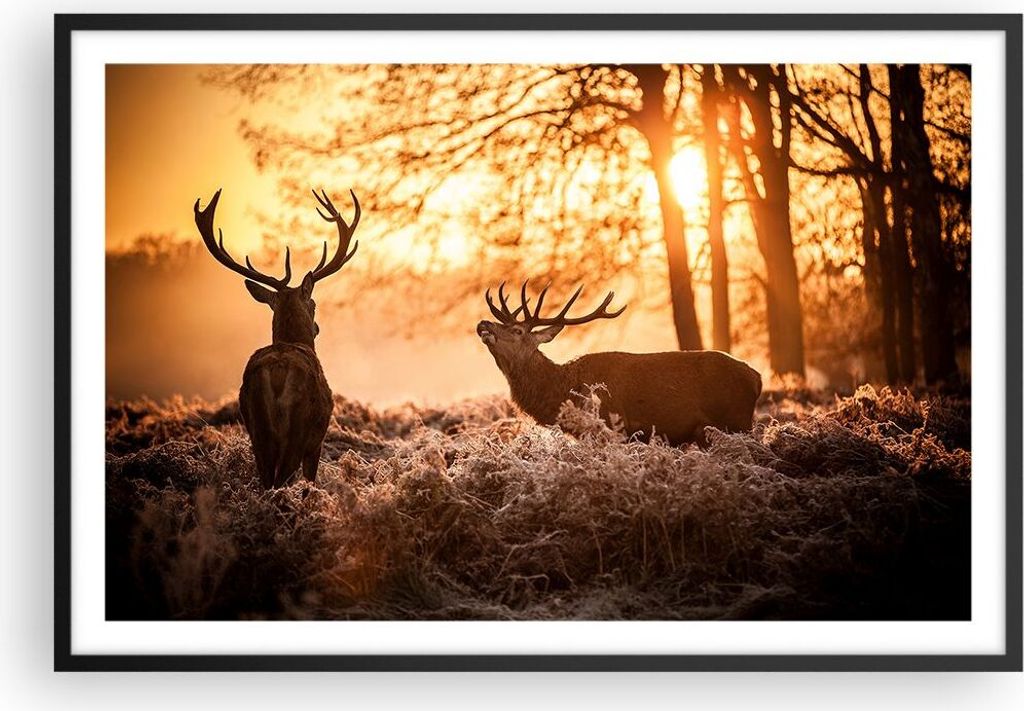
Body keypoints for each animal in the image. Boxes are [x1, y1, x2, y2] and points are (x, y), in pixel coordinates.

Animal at [194, 187, 361, 488]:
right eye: (314, 304)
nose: (317, 327)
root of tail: (276, 373)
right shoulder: (316, 442)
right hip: (298, 428)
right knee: (281, 478)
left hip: (256, 428)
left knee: (265, 479)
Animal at [477, 282, 762, 446]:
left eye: (517, 330)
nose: (483, 323)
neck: (564, 390)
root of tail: (757, 378)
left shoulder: (612, 428)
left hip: (737, 422)